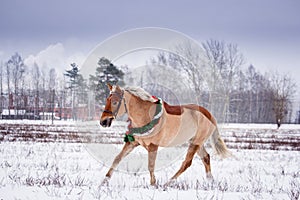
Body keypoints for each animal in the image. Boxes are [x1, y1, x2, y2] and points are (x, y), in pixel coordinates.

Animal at [99, 84, 231, 186]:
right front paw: (103, 182)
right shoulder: (132, 142)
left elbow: (151, 166)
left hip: (196, 143)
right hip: (196, 142)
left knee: (187, 163)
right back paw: (210, 182)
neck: (145, 116)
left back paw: (168, 183)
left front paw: (153, 184)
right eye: (106, 100)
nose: (103, 122)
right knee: (206, 158)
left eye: (115, 102)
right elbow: (117, 159)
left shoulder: (153, 146)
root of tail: (209, 114)